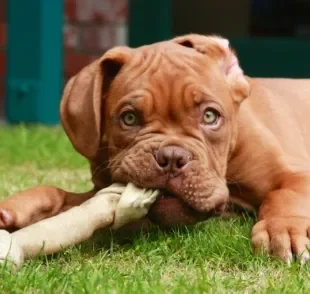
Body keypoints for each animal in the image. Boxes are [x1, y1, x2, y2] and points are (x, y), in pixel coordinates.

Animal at [0, 35, 310, 264]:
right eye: (129, 118)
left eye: (210, 116)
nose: (172, 157)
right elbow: (59, 194)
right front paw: (15, 207)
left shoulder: (296, 175)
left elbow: (285, 195)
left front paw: (282, 229)